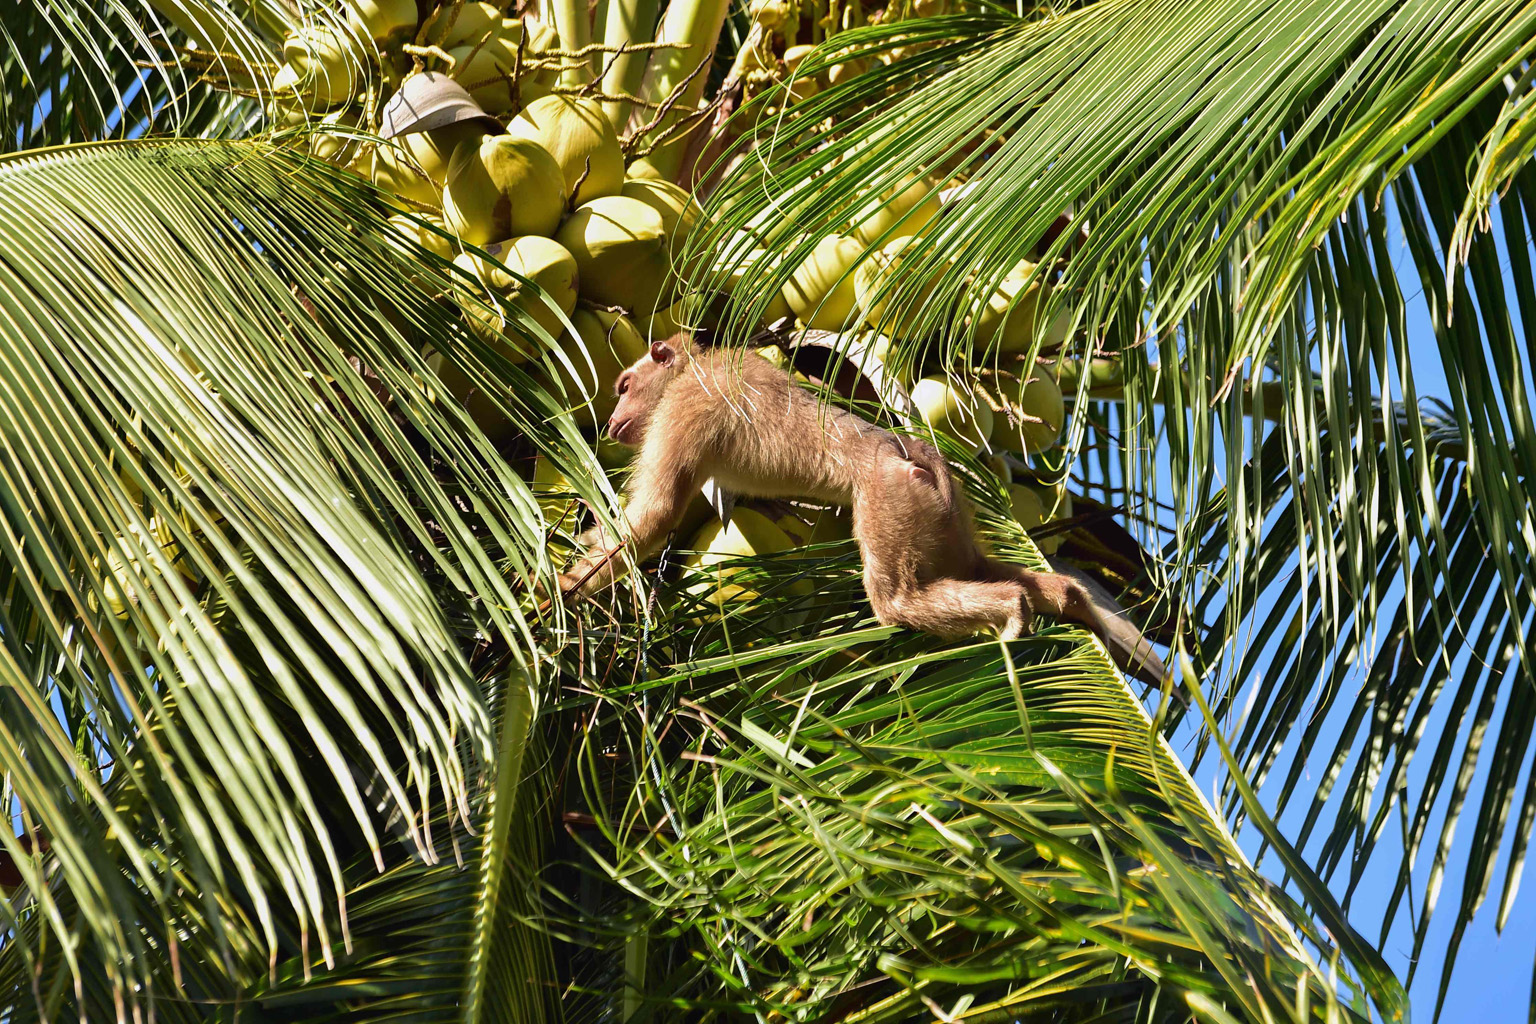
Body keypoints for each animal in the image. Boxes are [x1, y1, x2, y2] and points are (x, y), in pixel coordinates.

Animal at [557, 336, 1167, 686]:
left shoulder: (686, 405)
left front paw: (555, 594)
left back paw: (1012, 608)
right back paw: (1069, 602)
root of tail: (914, 454)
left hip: (890, 499)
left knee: (898, 602)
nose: (611, 419)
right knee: (975, 567)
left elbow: (657, 515)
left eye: (624, 385)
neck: (700, 364)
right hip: (948, 519)